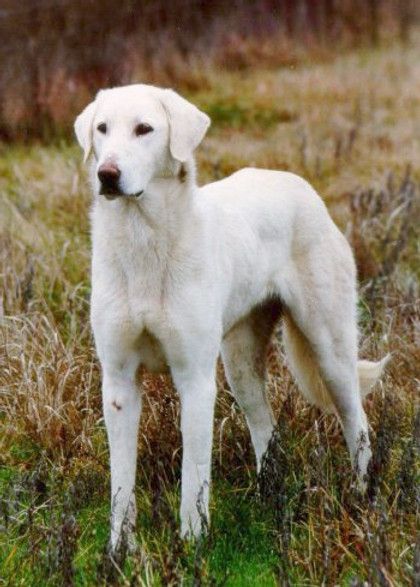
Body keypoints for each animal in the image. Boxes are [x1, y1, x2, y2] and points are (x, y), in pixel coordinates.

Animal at [74, 85, 388, 552]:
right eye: (102, 128)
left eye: (144, 129)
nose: (107, 174)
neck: (143, 241)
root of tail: (297, 184)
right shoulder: (118, 382)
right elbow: (121, 483)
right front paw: (119, 551)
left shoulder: (195, 380)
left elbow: (194, 478)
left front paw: (191, 545)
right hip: (239, 367)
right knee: (266, 429)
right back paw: (269, 499)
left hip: (330, 354)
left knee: (357, 422)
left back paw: (360, 498)